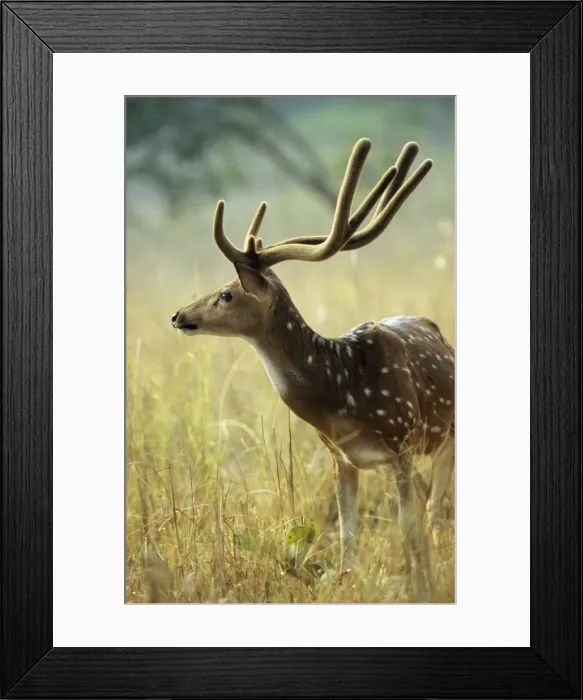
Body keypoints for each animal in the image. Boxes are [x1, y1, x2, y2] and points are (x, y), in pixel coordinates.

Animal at [171, 138, 455, 599]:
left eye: (227, 294)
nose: (178, 315)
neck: (342, 392)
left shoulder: (401, 442)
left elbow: (407, 528)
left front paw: (419, 590)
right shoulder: (341, 456)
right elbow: (347, 535)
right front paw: (348, 584)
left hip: (445, 436)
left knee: (435, 510)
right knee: (430, 502)